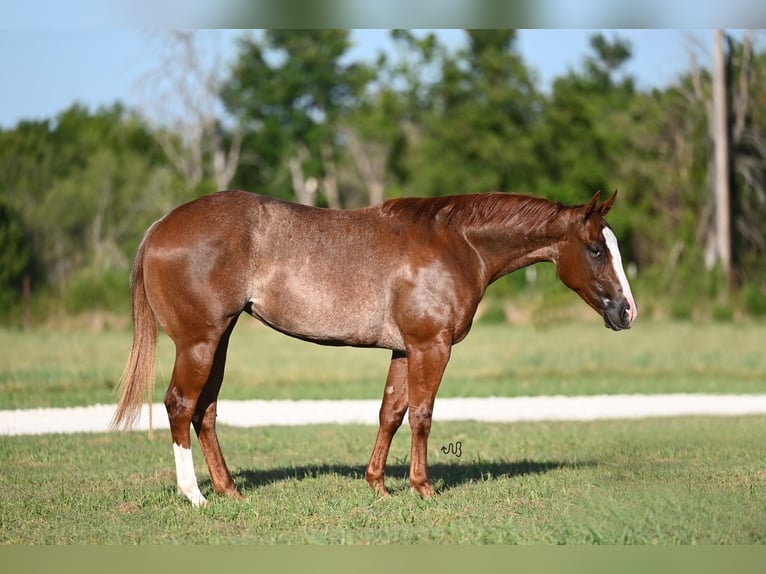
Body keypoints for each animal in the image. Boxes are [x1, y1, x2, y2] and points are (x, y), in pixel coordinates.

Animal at [112, 190, 636, 508]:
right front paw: (423, 488)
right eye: (596, 249)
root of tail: (160, 226)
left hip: (218, 341)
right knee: (181, 405)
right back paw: (194, 495)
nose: (627, 311)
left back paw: (229, 490)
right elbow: (422, 415)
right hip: (199, 342)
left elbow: (391, 412)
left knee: (206, 411)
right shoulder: (431, 347)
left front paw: (378, 485)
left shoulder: (404, 350)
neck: (457, 245)